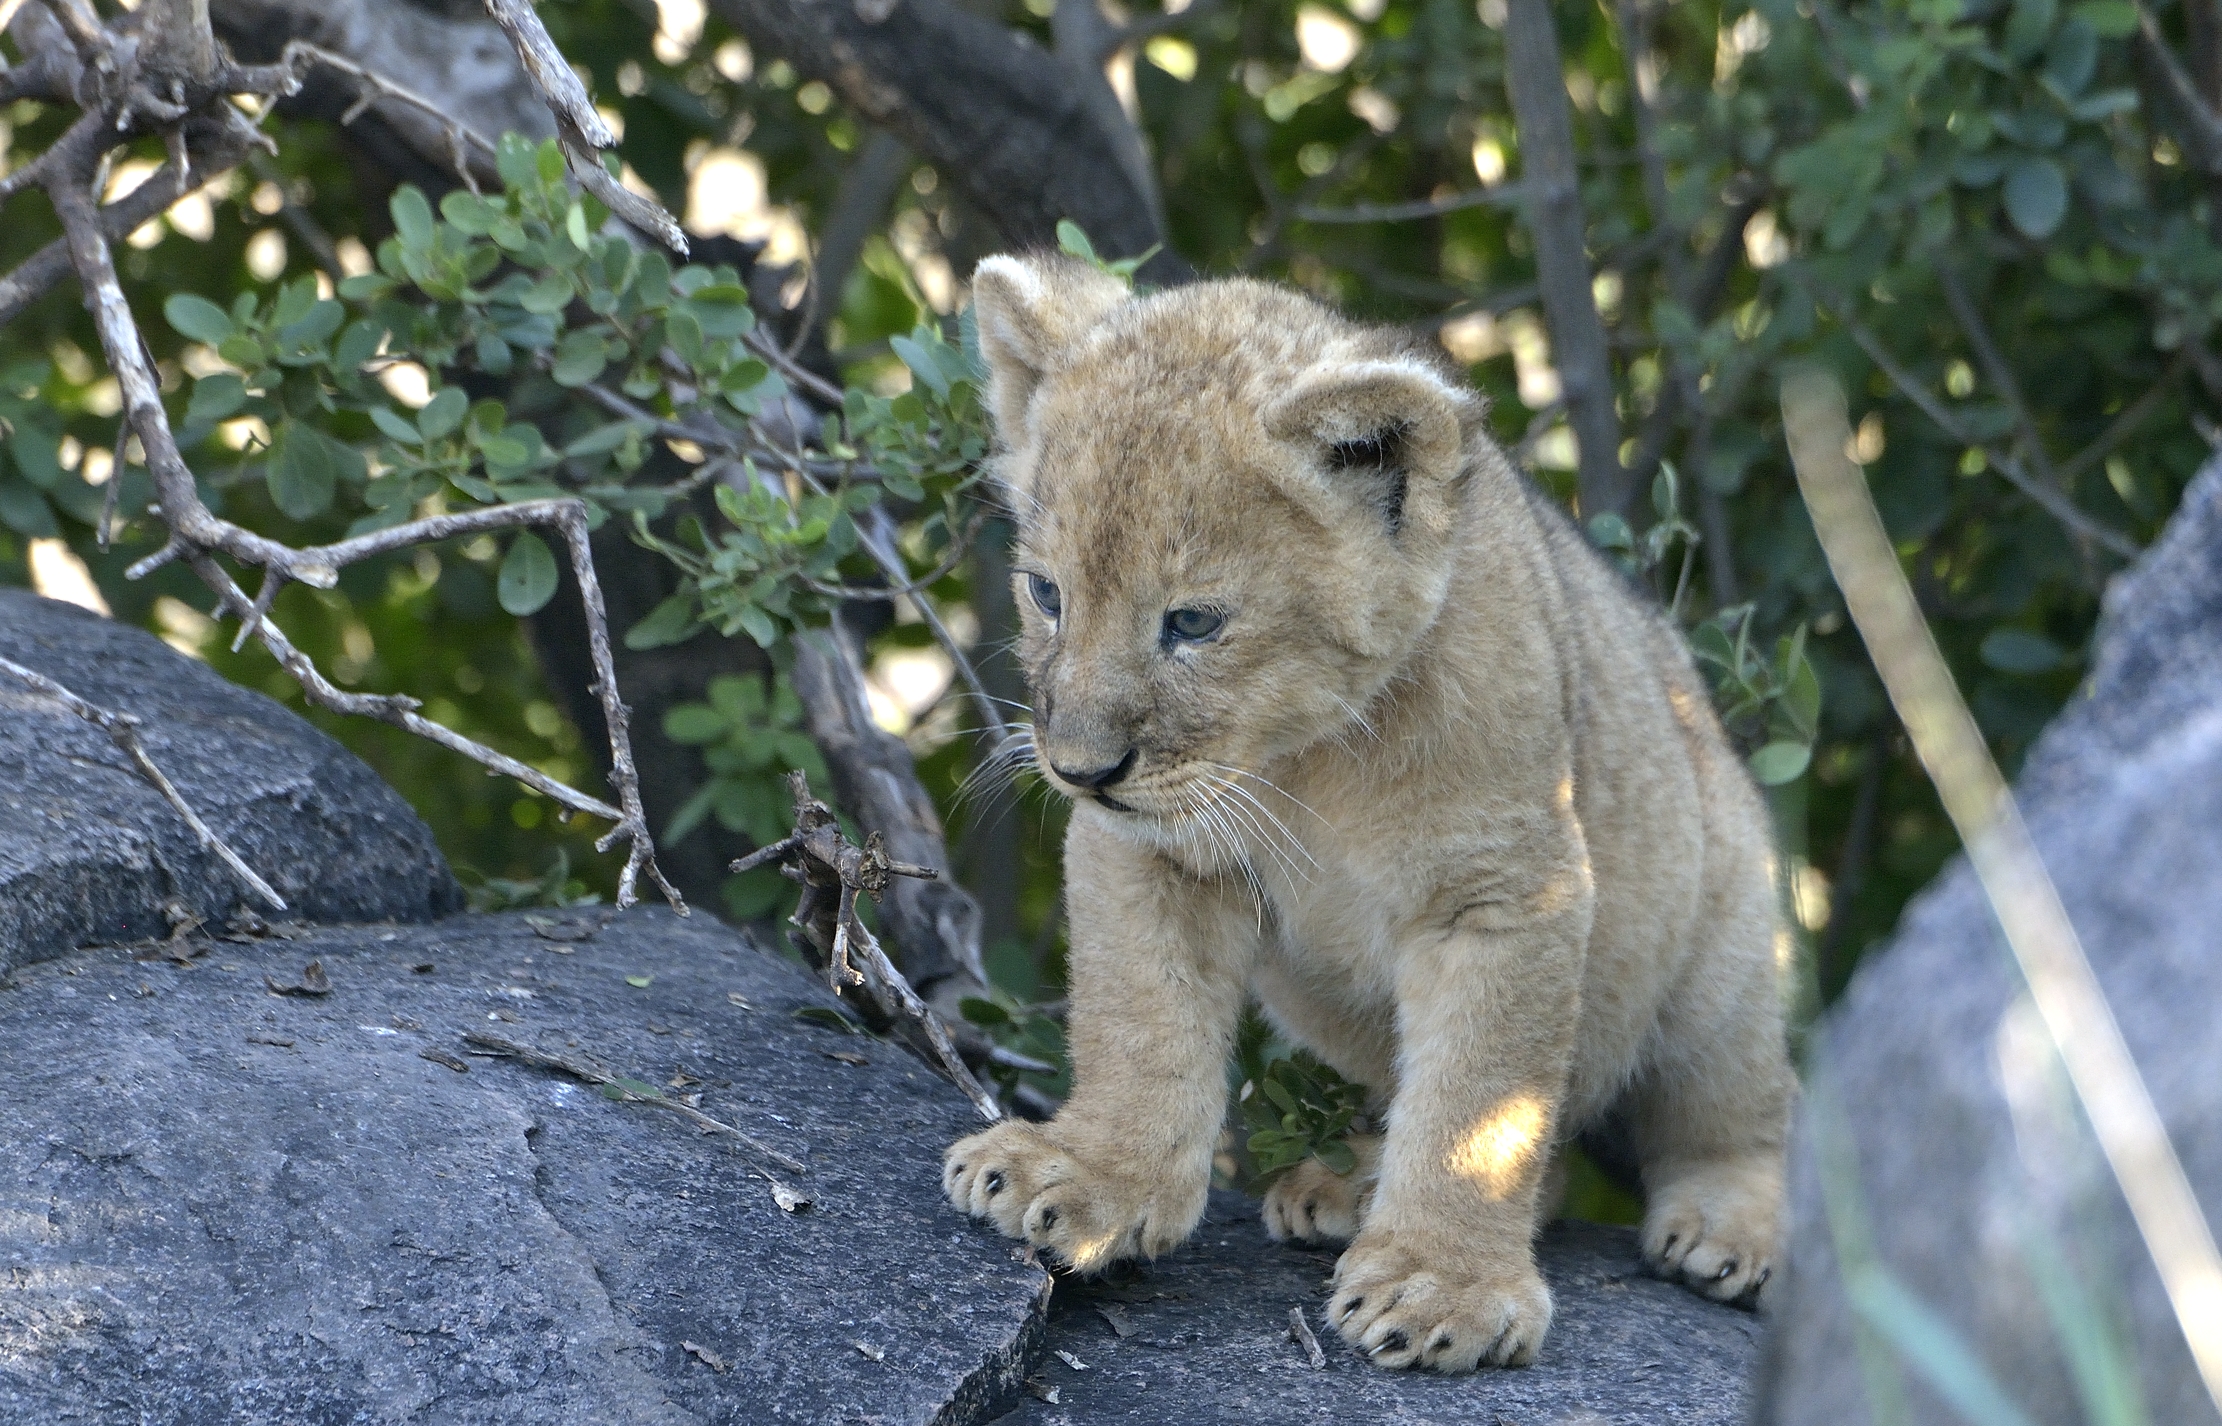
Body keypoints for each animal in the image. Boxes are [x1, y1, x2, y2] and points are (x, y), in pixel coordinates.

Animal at [941, 252, 1795, 1373]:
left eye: (1193, 623)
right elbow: (1138, 1016)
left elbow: (1482, 1103)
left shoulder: (1503, 893)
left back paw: (1729, 1231)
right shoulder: (1149, 849)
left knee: (1741, 1110)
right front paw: (1084, 1173)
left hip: (1721, 947)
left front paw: (1443, 1287)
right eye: (1047, 595)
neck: (1306, 762)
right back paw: (1347, 1184)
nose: (1082, 771)